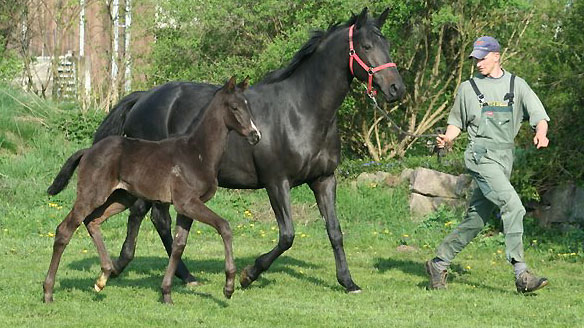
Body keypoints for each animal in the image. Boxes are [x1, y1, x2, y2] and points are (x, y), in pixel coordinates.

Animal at [41, 77, 260, 304]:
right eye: (234, 107)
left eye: (248, 106)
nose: (255, 135)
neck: (197, 152)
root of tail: (87, 151)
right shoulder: (188, 202)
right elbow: (224, 226)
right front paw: (229, 286)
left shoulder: (186, 207)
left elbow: (179, 245)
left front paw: (167, 293)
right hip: (91, 195)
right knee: (65, 230)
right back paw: (48, 292)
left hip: (120, 198)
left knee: (92, 221)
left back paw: (104, 276)